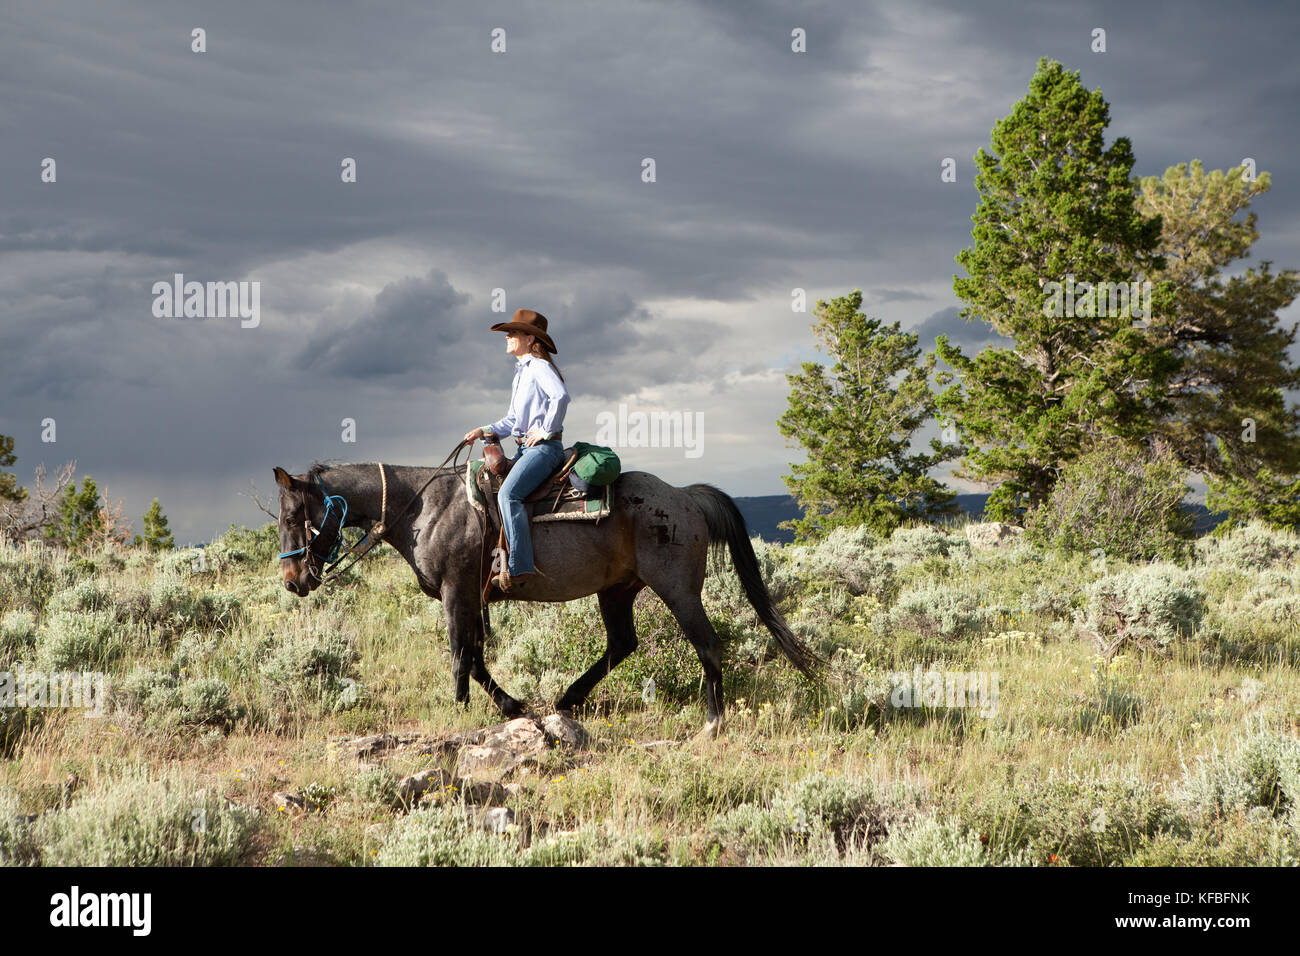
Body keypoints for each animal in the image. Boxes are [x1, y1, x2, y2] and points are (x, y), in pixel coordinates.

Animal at [271, 450, 821, 738]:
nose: (294, 581)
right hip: (616, 591)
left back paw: (711, 722)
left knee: (707, 644)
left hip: (678, 590)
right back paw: (568, 698)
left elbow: (460, 655)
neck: (425, 508)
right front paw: (512, 707)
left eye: (295, 515)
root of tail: (685, 496)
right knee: (623, 643)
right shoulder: (472, 598)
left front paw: (459, 711)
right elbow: (476, 658)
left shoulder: (456, 593)